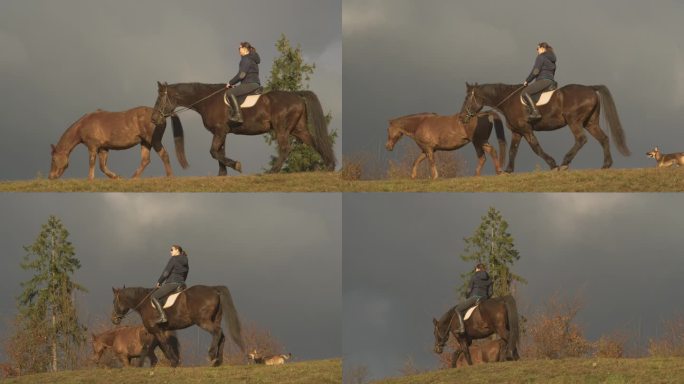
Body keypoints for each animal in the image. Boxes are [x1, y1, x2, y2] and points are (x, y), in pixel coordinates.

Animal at [48, 106, 188, 180]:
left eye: (53, 159)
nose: (51, 176)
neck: (84, 124)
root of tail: (161, 114)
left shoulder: (93, 146)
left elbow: (92, 162)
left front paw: (90, 179)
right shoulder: (103, 148)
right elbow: (102, 166)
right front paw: (117, 177)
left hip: (153, 141)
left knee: (164, 155)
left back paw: (170, 177)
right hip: (145, 143)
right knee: (145, 160)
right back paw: (132, 179)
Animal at [110, 286, 243, 368]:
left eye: (114, 301)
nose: (114, 319)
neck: (145, 304)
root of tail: (214, 290)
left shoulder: (156, 330)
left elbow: (164, 346)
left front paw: (174, 363)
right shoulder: (159, 331)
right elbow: (158, 347)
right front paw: (174, 362)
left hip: (203, 321)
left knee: (217, 332)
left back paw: (212, 356)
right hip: (215, 319)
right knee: (222, 336)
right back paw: (218, 361)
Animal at [151, 83, 336, 176]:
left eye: (160, 98)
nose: (153, 118)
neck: (208, 100)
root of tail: (296, 95)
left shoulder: (220, 131)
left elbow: (214, 152)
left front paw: (236, 166)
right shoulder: (221, 132)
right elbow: (220, 152)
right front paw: (222, 174)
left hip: (282, 128)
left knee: (285, 148)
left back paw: (272, 171)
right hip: (298, 129)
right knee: (314, 142)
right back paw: (330, 166)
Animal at [460, 82, 632, 172]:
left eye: (467, 97)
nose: (462, 117)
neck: (508, 100)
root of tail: (591, 89)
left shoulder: (526, 129)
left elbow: (536, 148)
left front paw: (553, 164)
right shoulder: (517, 131)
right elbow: (513, 150)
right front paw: (508, 170)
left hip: (574, 121)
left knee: (581, 139)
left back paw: (564, 163)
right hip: (590, 123)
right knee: (603, 138)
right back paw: (606, 165)